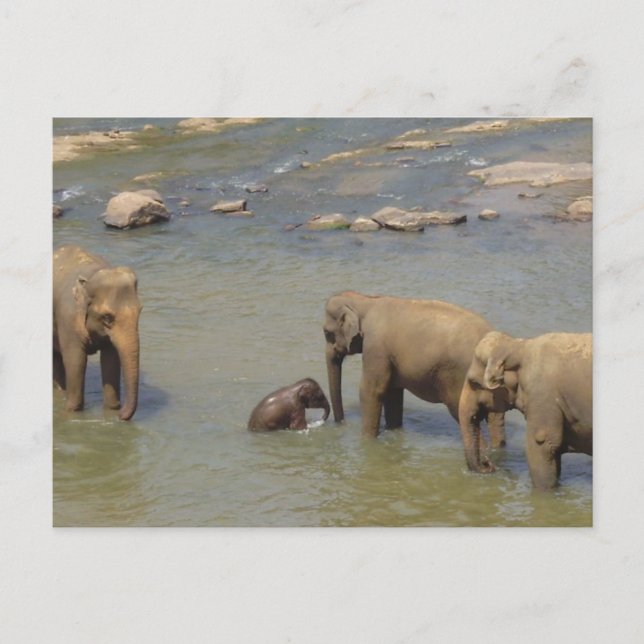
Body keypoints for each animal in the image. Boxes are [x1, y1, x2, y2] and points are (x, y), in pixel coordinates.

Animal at [53, 245, 141, 421]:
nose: (121, 415)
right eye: (107, 317)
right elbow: (76, 360)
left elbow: (111, 360)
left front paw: (112, 408)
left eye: (140, 311)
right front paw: (72, 410)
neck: (91, 276)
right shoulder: (67, 318)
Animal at [323, 291, 506, 443]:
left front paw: (367, 441)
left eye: (326, 332)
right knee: (495, 418)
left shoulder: (376, 348)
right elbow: (393, 393)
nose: (341, 424)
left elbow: (371, 391)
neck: (365, 300)